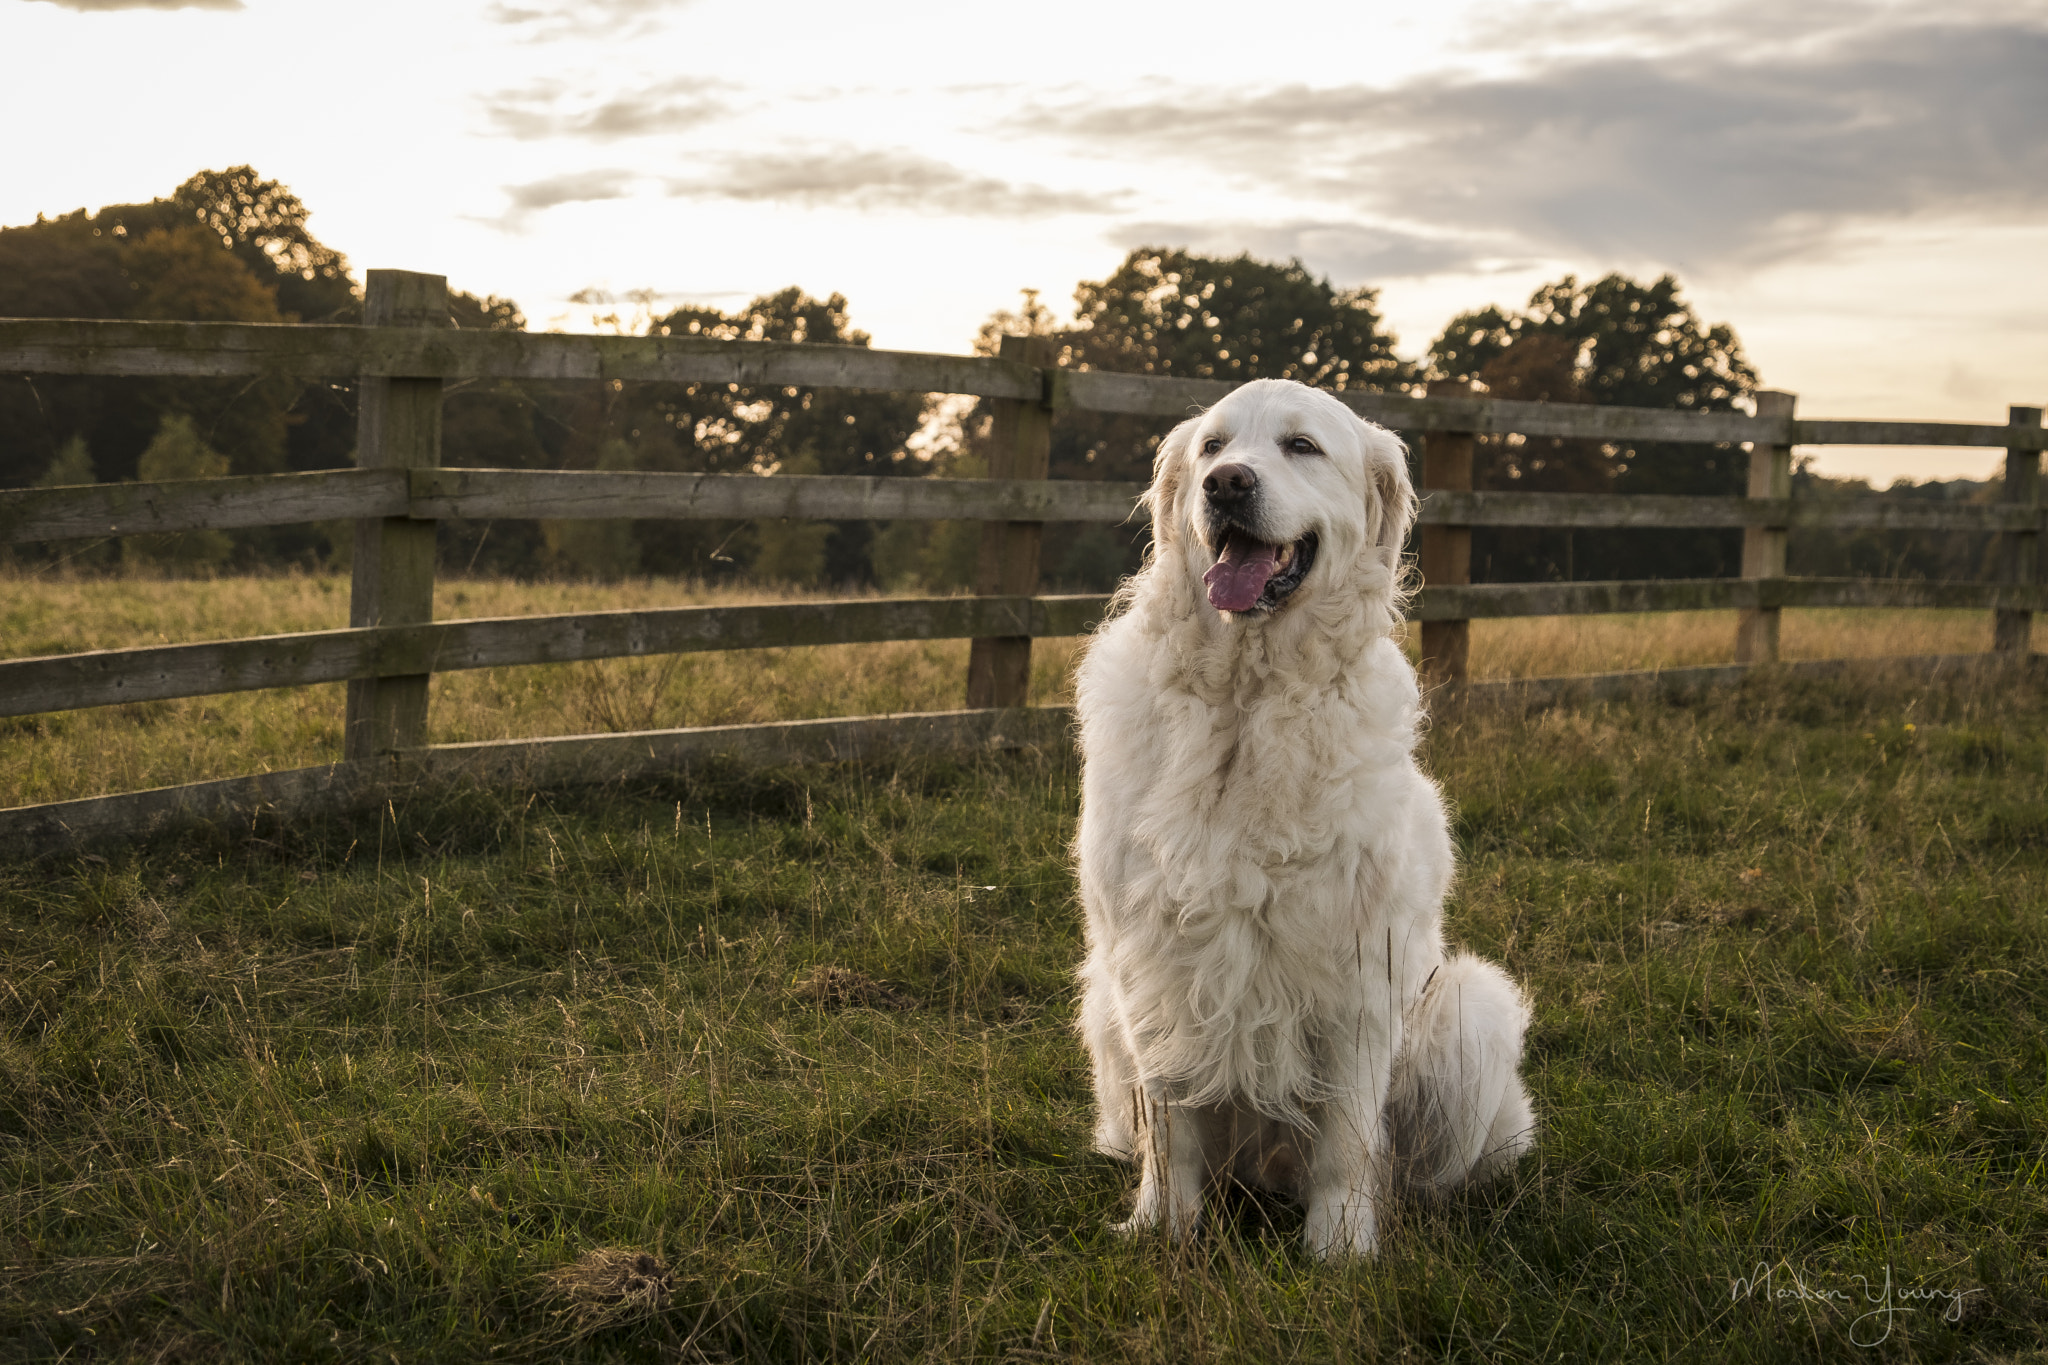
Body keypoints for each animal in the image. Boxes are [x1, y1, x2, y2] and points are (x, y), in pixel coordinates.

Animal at [1073, 378, 1540, 1252]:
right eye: (1213, 447)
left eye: (1301, 446)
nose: (1227, 485)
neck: (1248, 701)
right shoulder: (1151, 958)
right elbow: (1170, 1123)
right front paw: (1163, 1230)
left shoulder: (1357, 968)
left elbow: (1347, 1136)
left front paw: (1341, 1248)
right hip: (1101, 1008)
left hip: (1474, 1007)